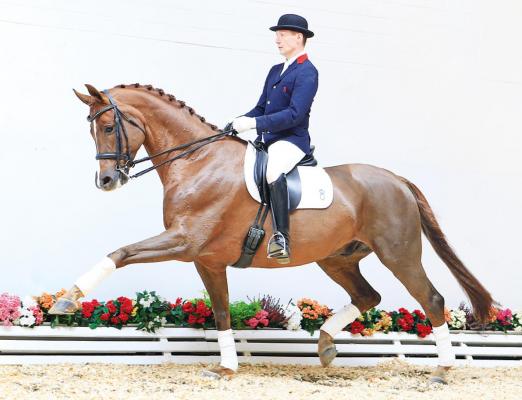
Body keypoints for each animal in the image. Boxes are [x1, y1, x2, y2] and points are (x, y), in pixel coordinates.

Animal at [50, 83, 494, 382]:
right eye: (92, 130)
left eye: (109, 126)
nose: (106, 181)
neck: (197, 161)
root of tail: (397, 179)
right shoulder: (206, 259)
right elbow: (222, 311)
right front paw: (226, 368)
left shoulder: (185, 241)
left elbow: (120, 253)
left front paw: (67, 301)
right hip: (337, 258)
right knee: (368, 296)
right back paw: (326, 345)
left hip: (397, 253)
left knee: (430, 299)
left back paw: (443, 370)